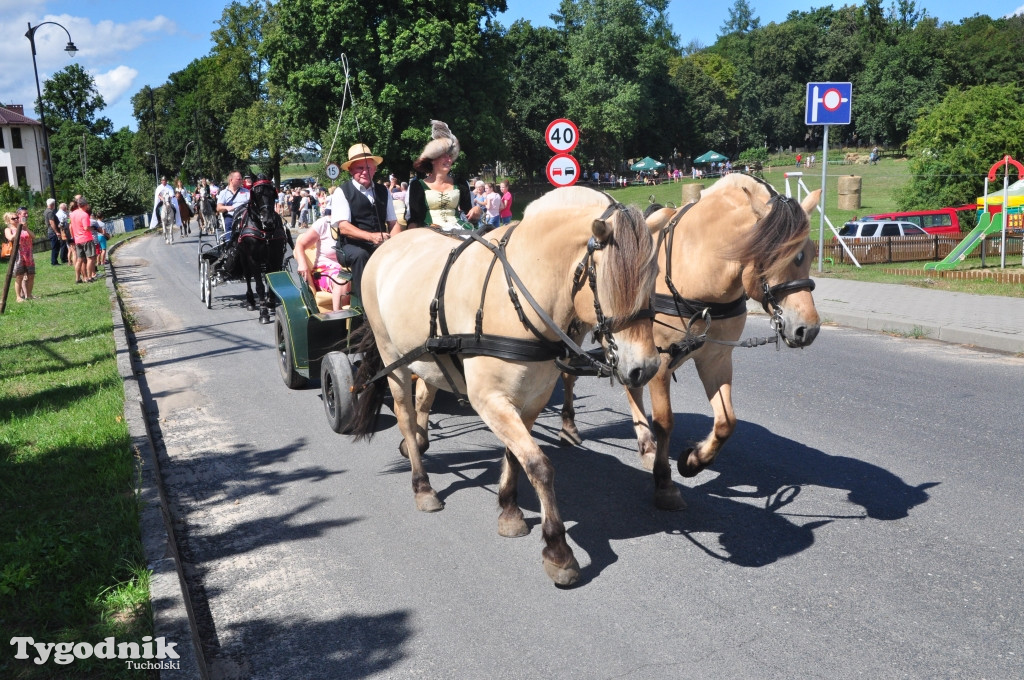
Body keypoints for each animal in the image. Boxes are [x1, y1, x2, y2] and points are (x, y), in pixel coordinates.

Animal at [234, 178, 290, 321]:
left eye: (273, 193)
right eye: (256, 194)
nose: (268, 220)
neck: (265, 231)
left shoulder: (276, 257)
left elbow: (272, 279)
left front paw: (271, 304)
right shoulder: (254, 259)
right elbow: (259, 285)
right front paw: (263, 312)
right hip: (244, 257)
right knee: (248, 276)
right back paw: (250, 301)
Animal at [348, 186, 659, 585]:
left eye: (654, 277)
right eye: (611, 283)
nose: (645, 369)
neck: (520, 295)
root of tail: (389, 244)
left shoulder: (532, 399)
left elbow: (516, 455)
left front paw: (510, 511)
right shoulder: (490, 399)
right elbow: (539, 465)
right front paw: (558, 550)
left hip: (427, 357)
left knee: (423, 397)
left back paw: (417, 439)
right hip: (392, 358)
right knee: (403, 412)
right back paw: (422, 485)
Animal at [561, 174, 823, 510]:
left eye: (811, 252)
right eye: (777, 256)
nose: (808, 329)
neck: (698, 269)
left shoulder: (715, 359)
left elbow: (726, 422)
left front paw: (693, 460)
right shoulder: (658, 361)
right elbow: (665, 422)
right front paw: (664, 482)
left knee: (630, 386)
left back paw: (645, 444)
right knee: (568, 373)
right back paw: (569, 427)